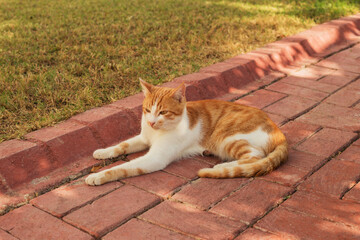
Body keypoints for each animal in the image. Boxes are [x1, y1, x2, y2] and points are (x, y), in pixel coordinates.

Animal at [84, 79, 286, 186]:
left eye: (163, 112)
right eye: (147, 110)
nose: (151, 122)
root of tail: (278, 132)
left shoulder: (155, 158)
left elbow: (122, 167)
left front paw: (97, 176)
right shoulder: (143, 138)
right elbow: (122, 144)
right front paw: (103, 152)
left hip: (226, 136)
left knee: (254, 157)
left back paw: (222, 166)